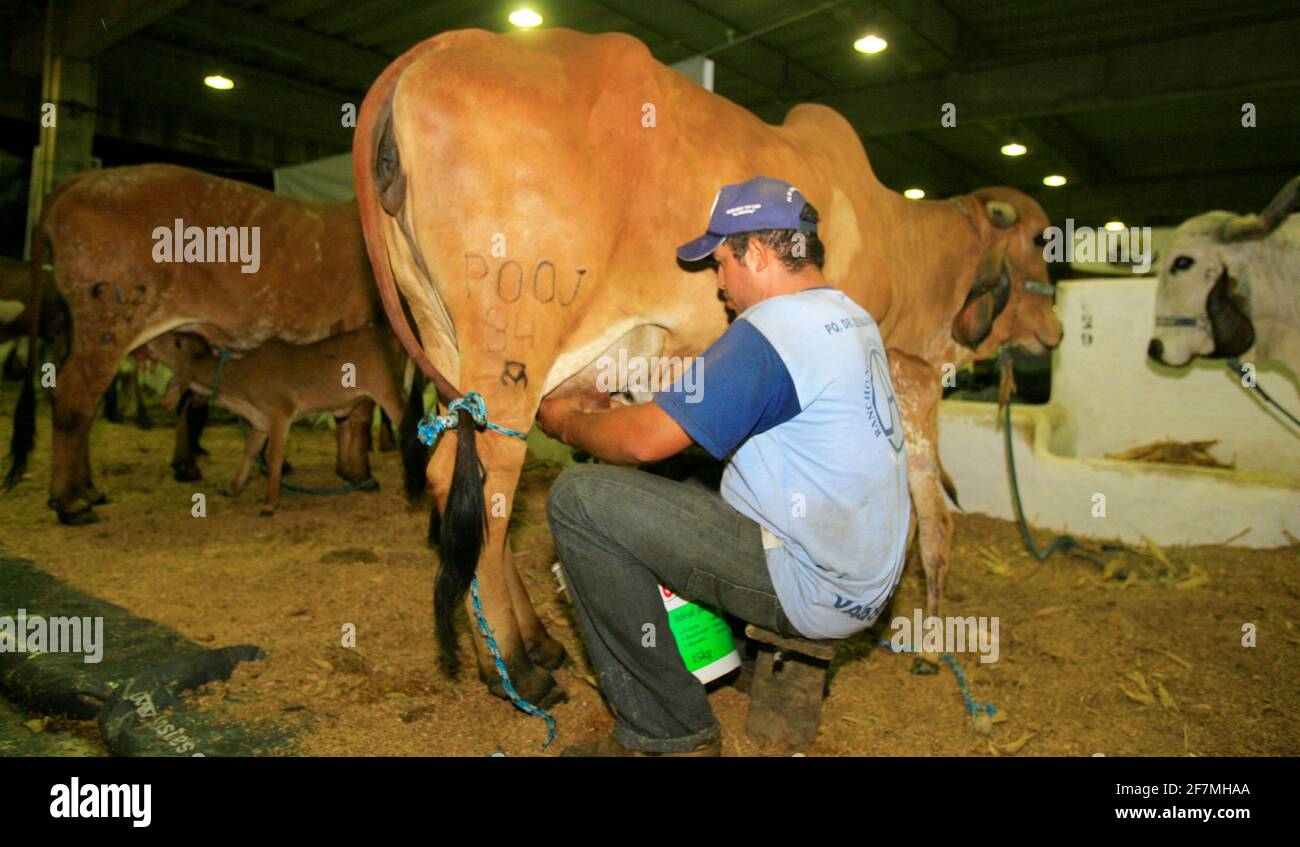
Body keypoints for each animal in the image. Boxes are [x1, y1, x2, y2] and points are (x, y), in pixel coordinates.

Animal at [145, 324, 415, 515]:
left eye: (176, 340)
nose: (150, 340)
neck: (238, 379)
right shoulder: (259, 421)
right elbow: (250, 452)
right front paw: (233, 487)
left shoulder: (279, 414)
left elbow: (273, 456)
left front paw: (270, 503)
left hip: (389, 392)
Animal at [353, 28, 1063, 705]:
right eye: (1037, 237)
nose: (1055, 330)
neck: (895, 234)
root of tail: (444, 45)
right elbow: (920, 514)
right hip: (509, 350)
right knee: (483, 484)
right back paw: (519, 672)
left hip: (443, 337)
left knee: (463, 487)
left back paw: (536, 645)